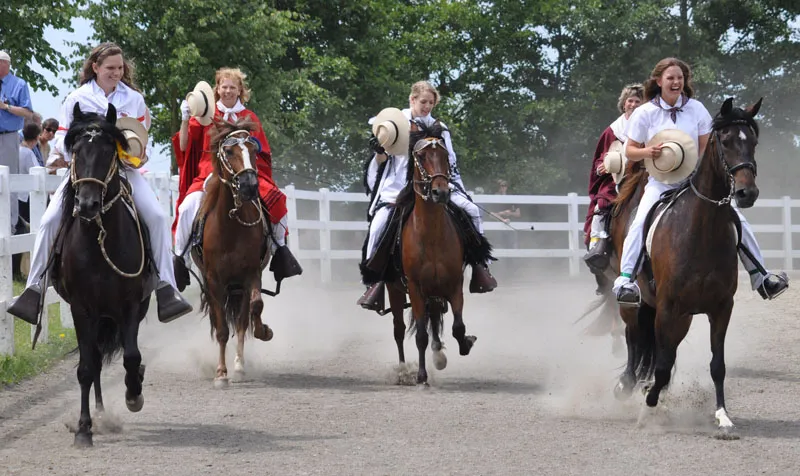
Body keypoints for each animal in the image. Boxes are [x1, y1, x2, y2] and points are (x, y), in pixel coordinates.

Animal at [54, 103, 156, 446]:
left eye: (109, 151)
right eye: (76, 151)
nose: (87, 204)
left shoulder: (130, 306)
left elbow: (132, 356)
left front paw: (134, 395)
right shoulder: (81, 309)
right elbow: (87, 367)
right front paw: (84, 429)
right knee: (96, 359)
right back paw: (97, 413)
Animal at [192, 118, 274, 386]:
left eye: (254, 149)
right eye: (228, 151)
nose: (249, 186)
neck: (230, 227)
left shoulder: (251, 275)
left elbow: (254, 309)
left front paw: (263, 331)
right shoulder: (214, 282)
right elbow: (221, 330)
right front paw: (221, 373)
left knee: (241, 320)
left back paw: (239, 364)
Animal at [386, 121, 482, 384]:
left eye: (445, 156)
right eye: (420, 156)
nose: (441, 192)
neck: (431, 236)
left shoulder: (454, 284)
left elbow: (458, 327)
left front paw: (466, 343)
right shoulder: (416, 288)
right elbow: (420, 335)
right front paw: (421, 376)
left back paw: (438, 353)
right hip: (395, 290)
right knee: (399, 330)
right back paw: (402, 370)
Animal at [592, 97, 764, 438]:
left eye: (752, 141)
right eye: (726, 141)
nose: (746, 193)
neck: (701, 231)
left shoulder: (721, 308)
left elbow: (717, 365)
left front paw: (723, 416)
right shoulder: (669, 307)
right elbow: (659, 364)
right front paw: (648, 407)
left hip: (679, 316)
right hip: (637, 305)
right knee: (632, 338)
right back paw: (627, 385)